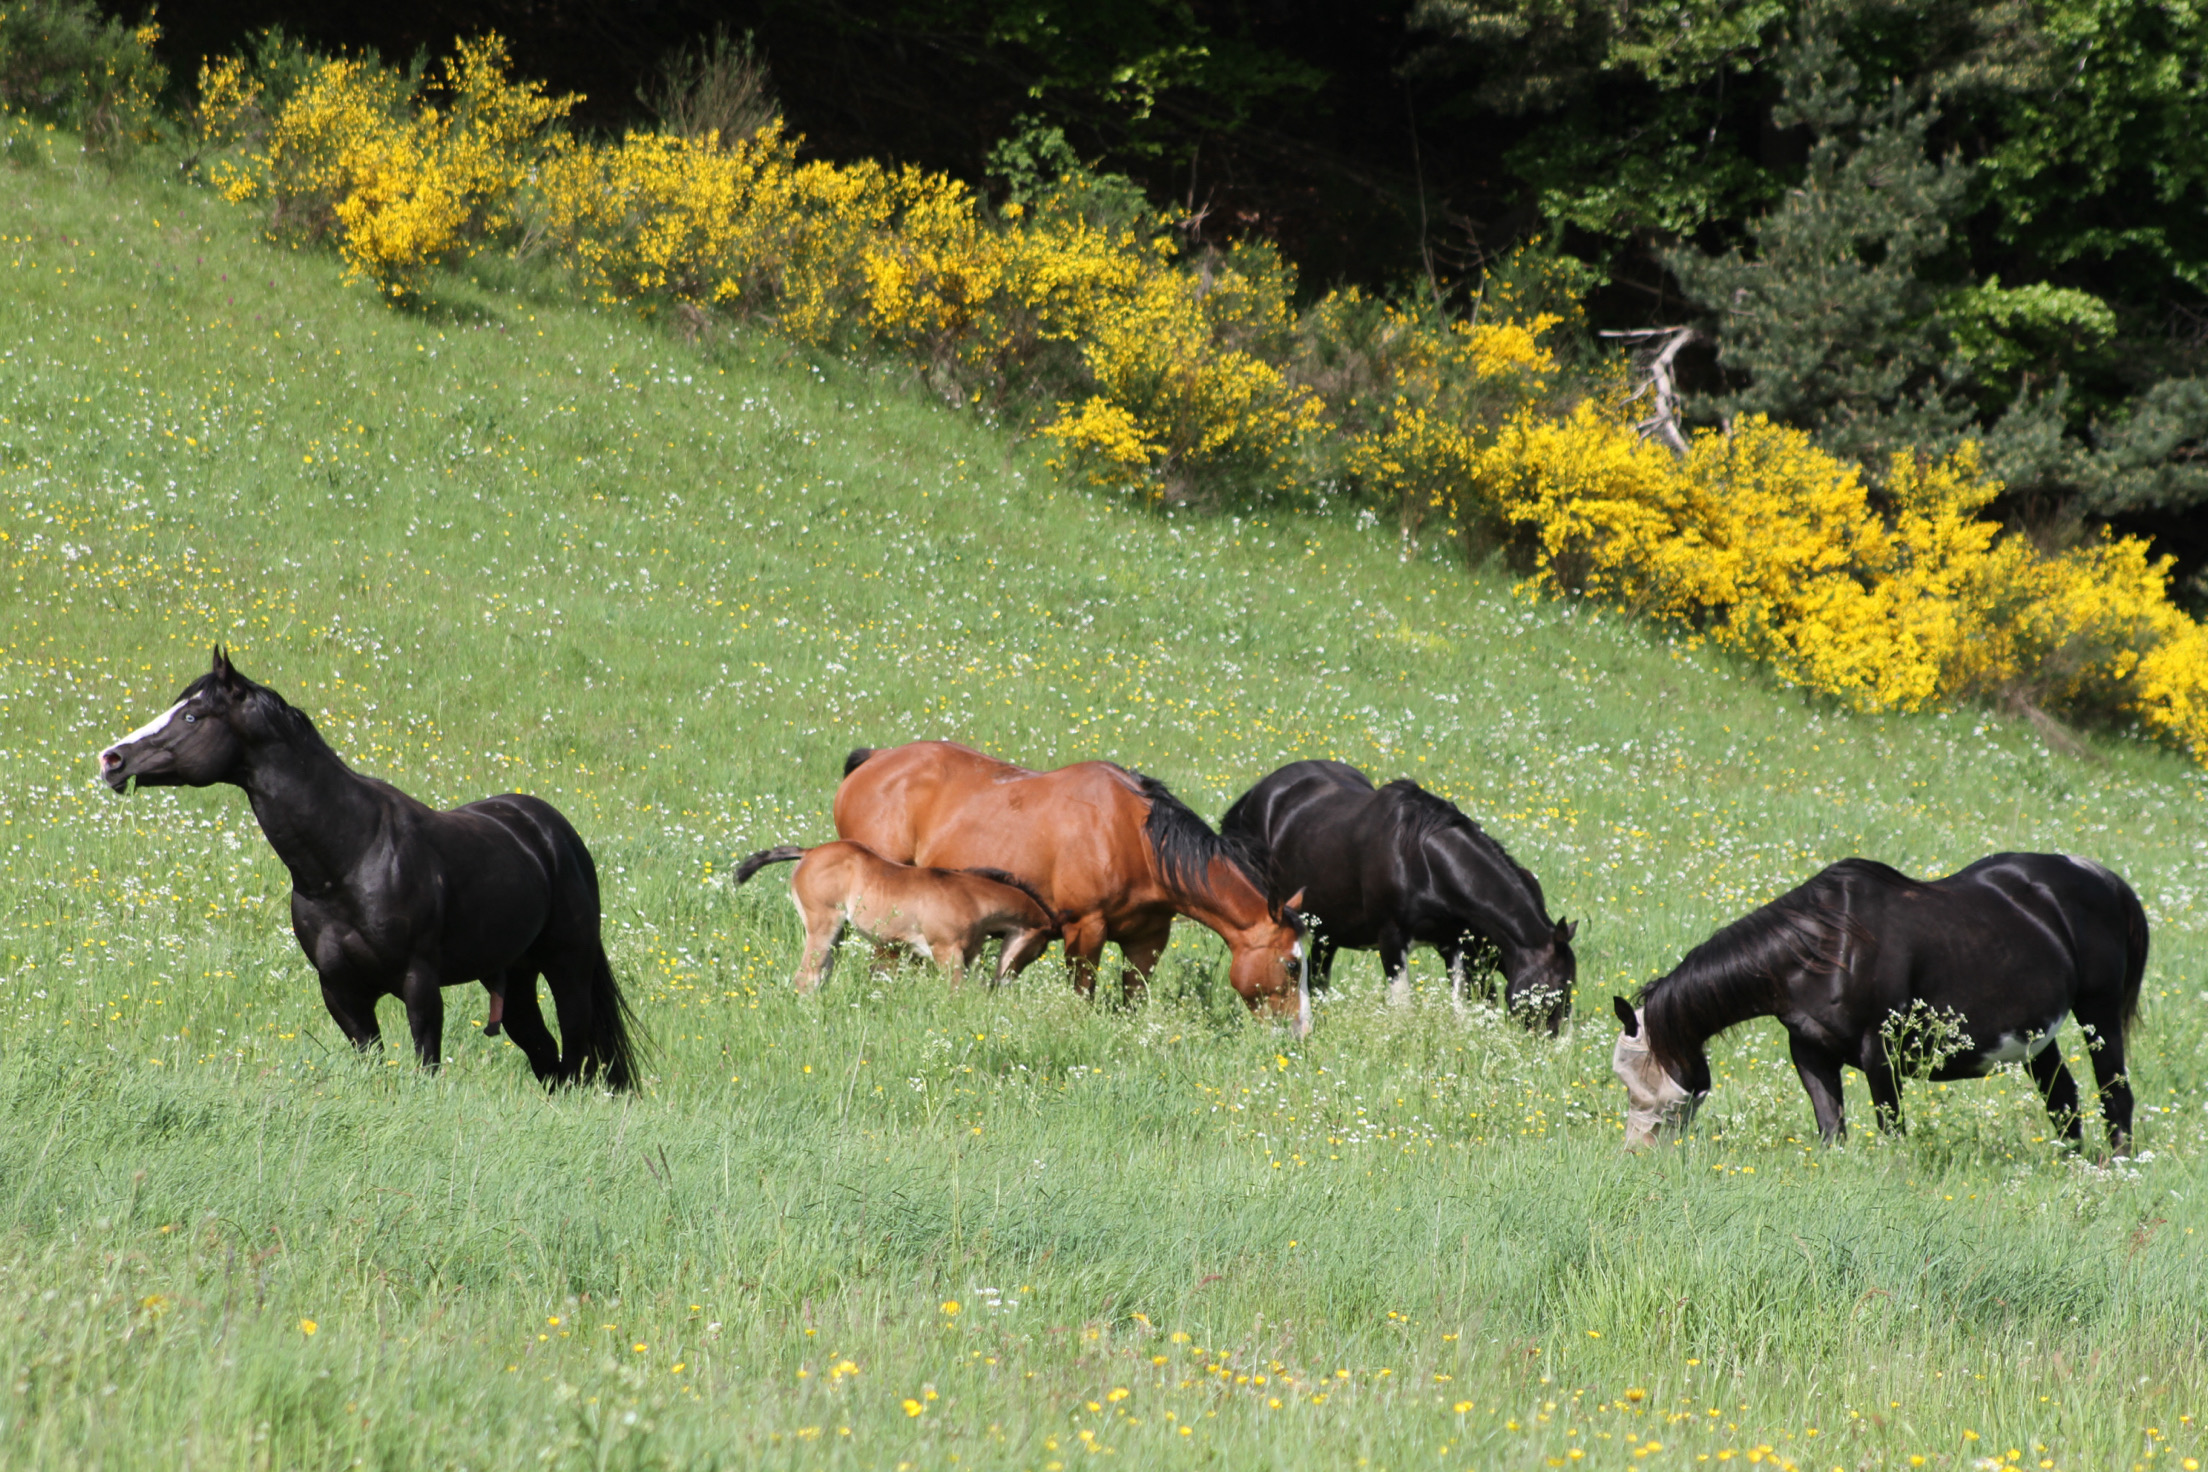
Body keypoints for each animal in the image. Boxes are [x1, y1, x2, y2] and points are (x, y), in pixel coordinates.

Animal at [97, 648, 640, 1089]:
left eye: (191, 715)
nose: (111, 759)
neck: (350, 858)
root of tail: (550, 829)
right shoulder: (341, 992)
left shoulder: (419, 983)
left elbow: (426, 1065)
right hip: (515, 974)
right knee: (545, 1052)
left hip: (568, 965)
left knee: (576, 1052)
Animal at [734, 840, 1061, 991]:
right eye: (1039, 950)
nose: (1004, 983)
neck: (972, 897)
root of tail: (810, 852)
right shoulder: (947, 952)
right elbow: (955, 992)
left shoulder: (967, 956)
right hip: (823, 925)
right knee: (806, 976)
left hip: (839, 933)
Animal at [832, 741, 1311, 1028]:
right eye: (1292, 965)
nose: (1301, 1031)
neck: (1135, 839)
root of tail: (875, 759)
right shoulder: (1085, 930)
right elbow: (1083, 995)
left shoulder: (1148, 939)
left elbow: (1134, 998)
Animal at [1219, 759, 1575, 1031]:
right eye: (1555, 987)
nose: (1554, 1042)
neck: (1421, 860)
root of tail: (1257, 795)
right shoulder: (1391, 940)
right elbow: (1403, 1007)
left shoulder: (1455, 946)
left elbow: (1462, 1008)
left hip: (1325, 930)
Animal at [1610, 853, 2146, 1155]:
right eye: (1624, 1080)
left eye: (1675, 1094)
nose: (1637, 1151)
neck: (1825, 948)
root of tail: (2105, 880)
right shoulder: (1810, 1054)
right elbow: (1832, 1130)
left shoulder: (1879, 1054)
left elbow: (1891, 1129)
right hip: (2035, 1038)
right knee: (2063, 1100)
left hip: (2097, 1014)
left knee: (2115, 1095)